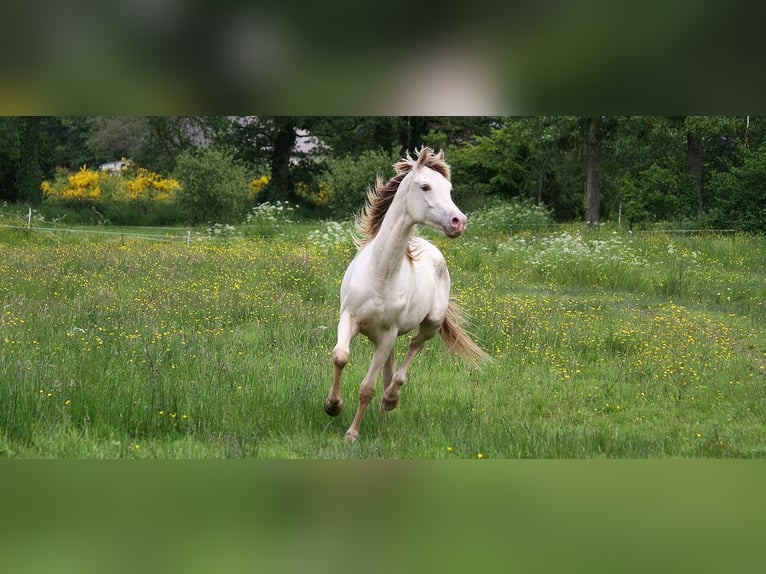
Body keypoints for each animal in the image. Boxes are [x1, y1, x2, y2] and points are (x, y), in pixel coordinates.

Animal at [326, 146, 492, 444]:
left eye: (449, 189)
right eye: (425, 187)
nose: (458, 222)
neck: (380, 274)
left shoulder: (389, 334)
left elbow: (367, 387)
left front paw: (352, 434)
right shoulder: (349, 318)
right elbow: (341, 356)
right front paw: (333, 406)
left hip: (428, 325)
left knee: (413, 349)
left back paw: (391, 400)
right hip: (382, 337)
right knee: (390, 369)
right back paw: (382, 415)